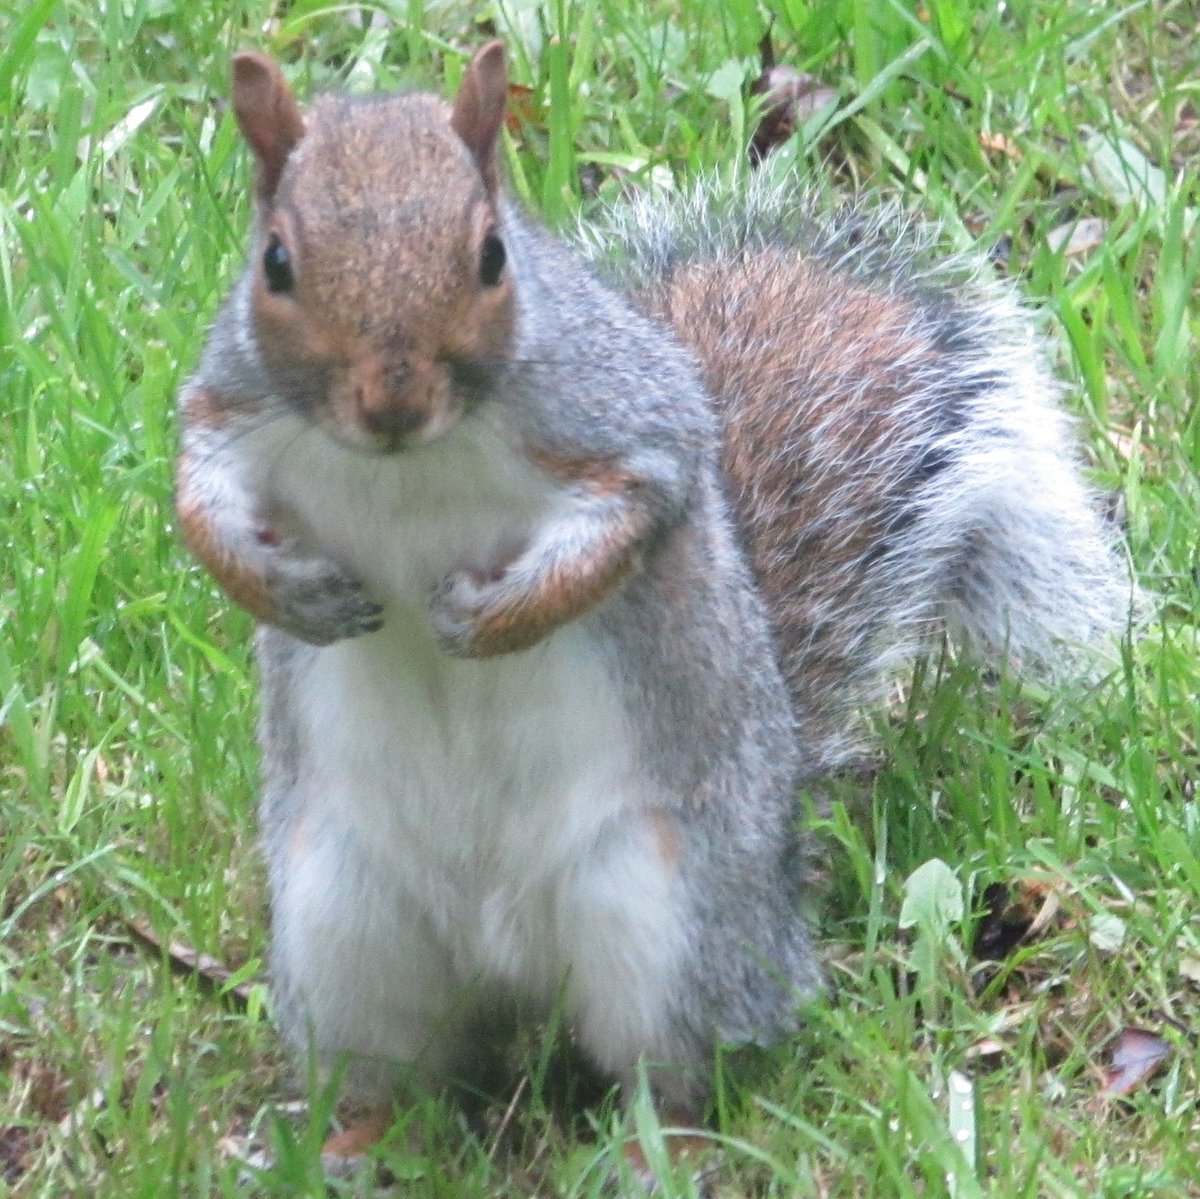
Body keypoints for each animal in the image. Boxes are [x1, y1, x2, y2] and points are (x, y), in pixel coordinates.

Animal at [175, 41, 1133, 1179]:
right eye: (275, 263)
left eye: (492, 256)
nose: (392, 401)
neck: (407, 459)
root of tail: (506, 961)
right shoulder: (225, 405)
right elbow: (199, 503)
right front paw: (288, 592)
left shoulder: (633, 421)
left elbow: (629, 521)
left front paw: (489, 620)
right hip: (341, 926)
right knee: (401, 1072)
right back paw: (349, 1143)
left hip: (666, 921)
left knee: (671, 1066)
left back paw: (655, 1154)